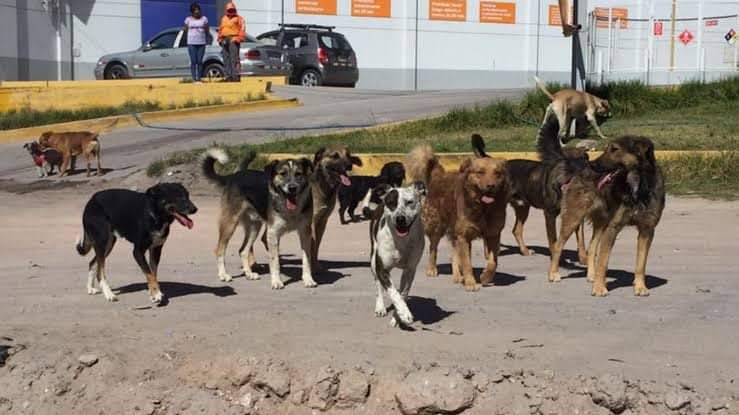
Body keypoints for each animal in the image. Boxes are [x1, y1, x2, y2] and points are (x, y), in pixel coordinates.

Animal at [204, 149, 316, 290]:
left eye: (298, 174)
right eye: (282, 174)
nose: (292, 188)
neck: (289, 209)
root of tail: (234, 175)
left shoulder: (305, 232)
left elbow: (306, 259)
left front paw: (308, 279)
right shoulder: (273, 233)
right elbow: (275, 261)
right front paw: (276, 281)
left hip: (254, 227)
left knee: (243, 250)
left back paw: (249, 274)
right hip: (230, 223)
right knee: (219, 249)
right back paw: (223, 275)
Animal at [370, 182, 428, 328]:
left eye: (409, 202)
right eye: (391, 203)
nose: (400, 218)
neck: (401, 241)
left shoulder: (410, 270)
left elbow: (403, 293)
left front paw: (398, 316)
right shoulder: (382, 269)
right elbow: (393, 292)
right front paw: (405, 313)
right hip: (373, 261)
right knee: (378, 286)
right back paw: (380, 307)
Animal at [408, 146, 512, 292]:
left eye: (497, 173)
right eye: (480, 172)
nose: (491, 186)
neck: (483, 208)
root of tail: (439, 175)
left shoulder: (493, 235)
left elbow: (493, 261)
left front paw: (485, 277)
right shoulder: (464, 236)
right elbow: (467, 263)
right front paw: (470, 283)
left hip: (455, 232)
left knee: (454, 255)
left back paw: (457, 276)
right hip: (436, 227)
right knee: (433, 248)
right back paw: (432, 269)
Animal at [474, 132, 588, 264]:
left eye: (584, 159)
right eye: (566, 161)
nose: (579, 171)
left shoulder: (577, 214)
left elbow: (581, 240)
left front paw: (584, 259)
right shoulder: (550, 214)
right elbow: (553, 240)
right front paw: (558, 259)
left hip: (523, 207)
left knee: (516, 230)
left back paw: (525, 251)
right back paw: (488, 255)